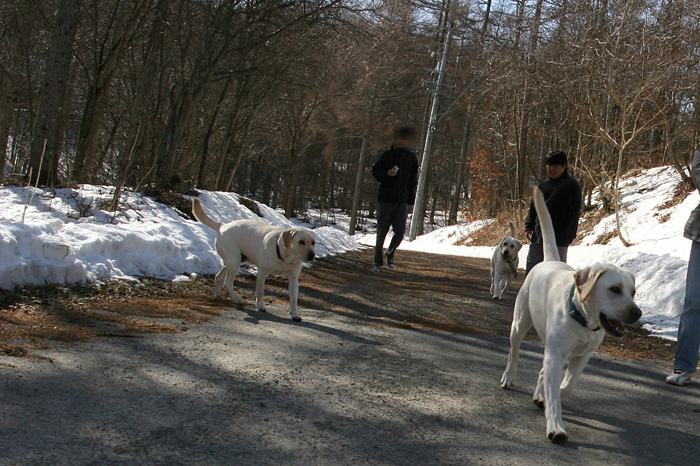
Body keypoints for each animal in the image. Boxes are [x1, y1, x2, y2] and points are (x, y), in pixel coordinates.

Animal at [500, 187, 644, 444]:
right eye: (614, 289)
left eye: (633, 292)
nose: (637, 313)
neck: (582, 319)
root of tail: (548, 260)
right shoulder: (556, 355)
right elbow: (555, 393)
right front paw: (556, 426)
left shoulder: (581, 356)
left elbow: (566, 386)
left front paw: (546, 396)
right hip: (519, 324)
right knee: (513, 352)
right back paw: (509, 377)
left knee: (544, 372)